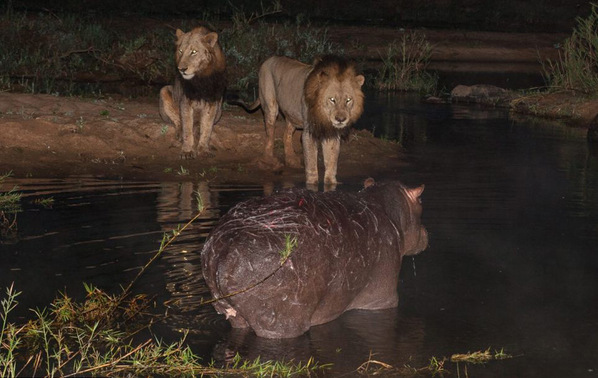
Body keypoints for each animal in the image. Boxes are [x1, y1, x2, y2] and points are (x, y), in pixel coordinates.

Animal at [159, 25, 227, 158]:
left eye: (194, 52)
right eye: (180, 51)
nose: (181, 69)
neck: (200, 77)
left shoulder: (212, 101)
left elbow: (207, 127)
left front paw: (203, 149)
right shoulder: (186, 100)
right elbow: (187, 127)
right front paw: (187, 150)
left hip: (219, 108)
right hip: (164, 90)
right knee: (178, 122)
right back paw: (179, 135)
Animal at [233, 54, 366, 186]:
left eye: (348, 100)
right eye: (332, 99)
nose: (340, 119)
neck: (323, 116)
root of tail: (269, 59)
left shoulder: (331, 134)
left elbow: (331, 162)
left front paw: (331, 184)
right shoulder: (308, 133)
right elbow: (311, 163)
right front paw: (312, 185)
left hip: (292, 115)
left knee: (286, 135)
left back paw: (291, 160)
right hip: (270, 106)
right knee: (270, 134)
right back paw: (269, 161)